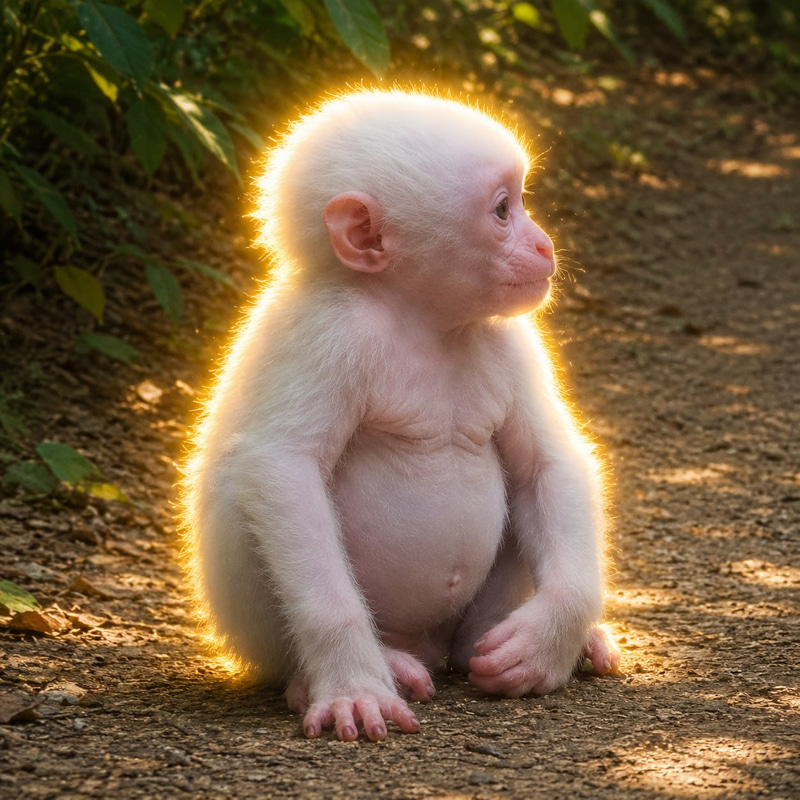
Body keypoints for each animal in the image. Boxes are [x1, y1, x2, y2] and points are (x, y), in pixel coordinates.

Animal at [181, 89, 620, 743]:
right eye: (502, 211)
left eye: (519, 202)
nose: (543, 245)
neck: (421, 318)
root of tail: (430, 648)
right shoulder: (333, 331)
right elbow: (284, 473)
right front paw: (351, 680)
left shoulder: (513, 337)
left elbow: (548, 463)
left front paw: (550, 639)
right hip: (259, 638)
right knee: (249, 488)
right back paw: (336, 671)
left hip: (473, 628)